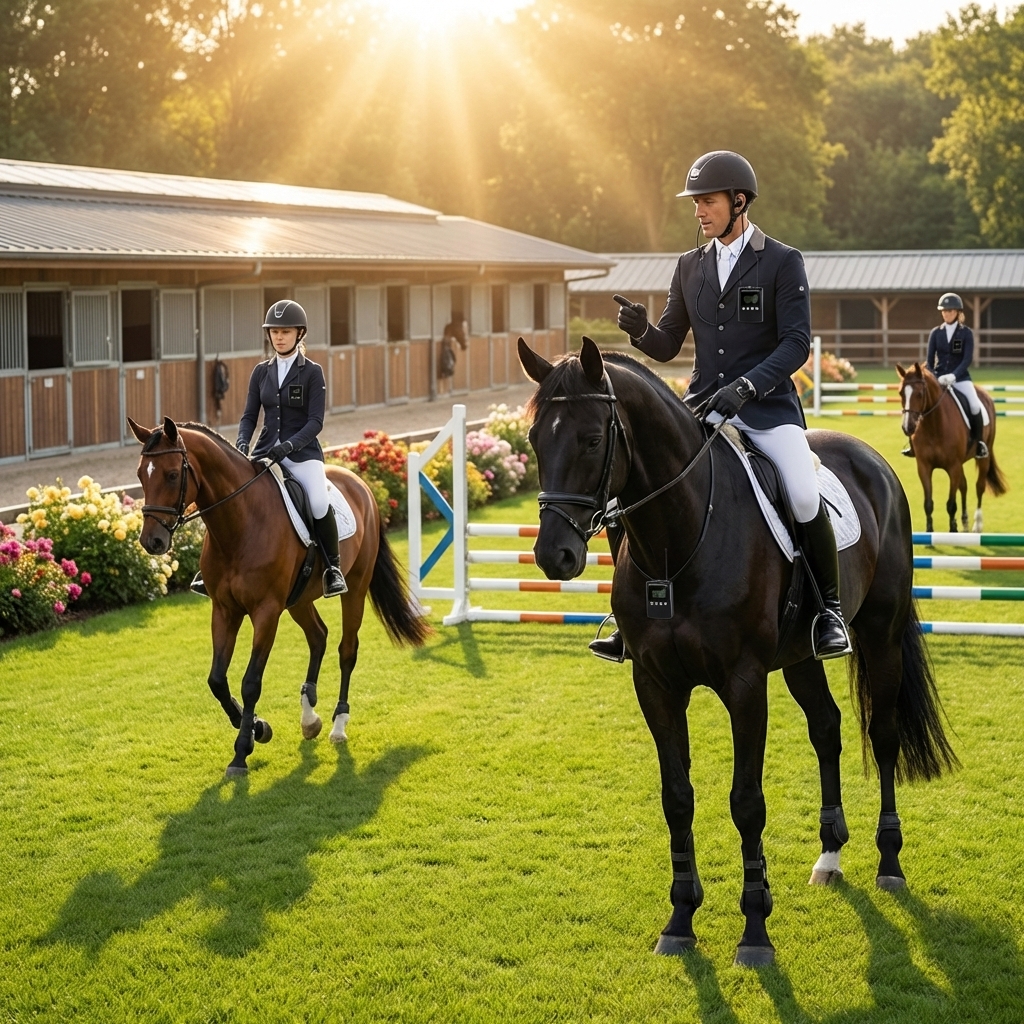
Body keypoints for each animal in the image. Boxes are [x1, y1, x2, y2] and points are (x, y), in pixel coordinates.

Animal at [127, 416, 429, 776]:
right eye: (140, 474)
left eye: (173, 474)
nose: (152, 541)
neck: (239, 524)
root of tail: (360, 483)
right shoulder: (224, 610)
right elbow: (217, 680)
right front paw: (257, 727)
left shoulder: (266, 612)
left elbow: (251, 682)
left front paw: (242, 751)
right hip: (299, 599)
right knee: (318, 637)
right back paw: (309, 717)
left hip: (355, 587)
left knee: (347, 650)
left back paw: (338, 724)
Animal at [518, 338, 957, 967]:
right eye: (534, 438)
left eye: (593, 439)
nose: (554, 555)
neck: (678, 539)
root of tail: (871, 460)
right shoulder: (655, 684)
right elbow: (677, 797)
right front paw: (680, 919)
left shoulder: (745, 684)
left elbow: (747, 802)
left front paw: (754, 932)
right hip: (800, 656)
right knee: (827, 728)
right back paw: (829, 857)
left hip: (880, 635)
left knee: (884, 734)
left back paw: (889, 862)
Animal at [896, 362, 1006, 533]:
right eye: (901, 393)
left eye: (920, 394)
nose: (908, 427)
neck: (934, 426)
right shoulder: (924, 467)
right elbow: (928, 503)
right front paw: (929, 532)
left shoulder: (953, 467)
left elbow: (951, 504)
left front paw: (953, 530)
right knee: (964, 486)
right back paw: (965, 521)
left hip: (983, 458)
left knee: (979, 487)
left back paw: (977, 524)